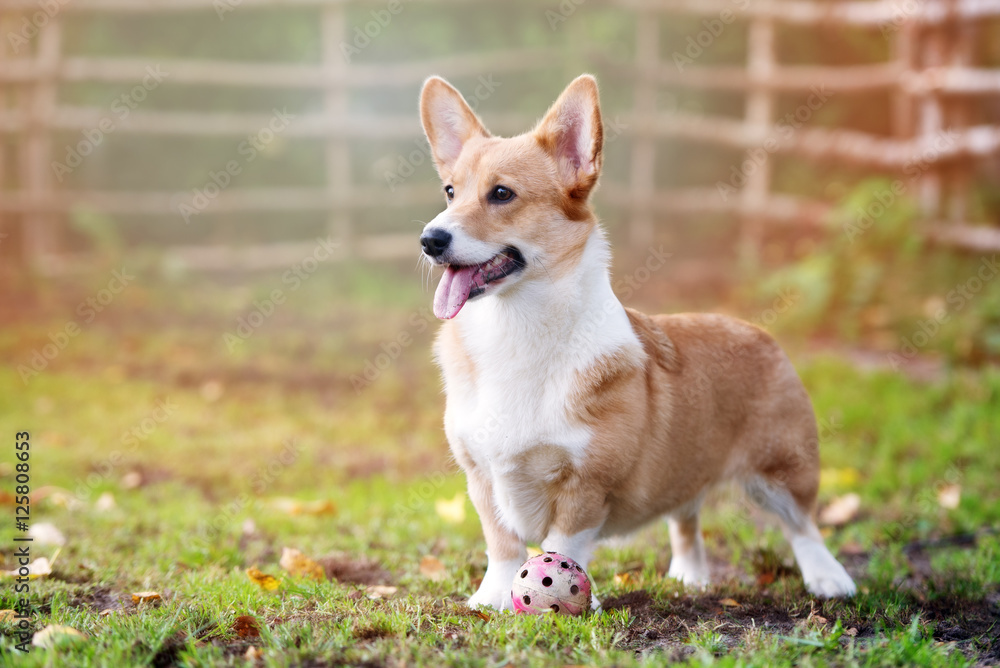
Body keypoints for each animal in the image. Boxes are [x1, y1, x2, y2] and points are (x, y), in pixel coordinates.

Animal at [418, 74, 856, 612]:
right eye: (450, 191)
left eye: (502, 194)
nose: (430, 239)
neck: (515, 328)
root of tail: (754, 329)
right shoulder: (481, 475)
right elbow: (502, 546)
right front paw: (492, 599)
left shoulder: (586, 485)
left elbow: (561, 548)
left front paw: (559, 603)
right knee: (686, 517)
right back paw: (690, 576)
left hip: (782, 471)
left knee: (804, 527)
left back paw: (829, 579)